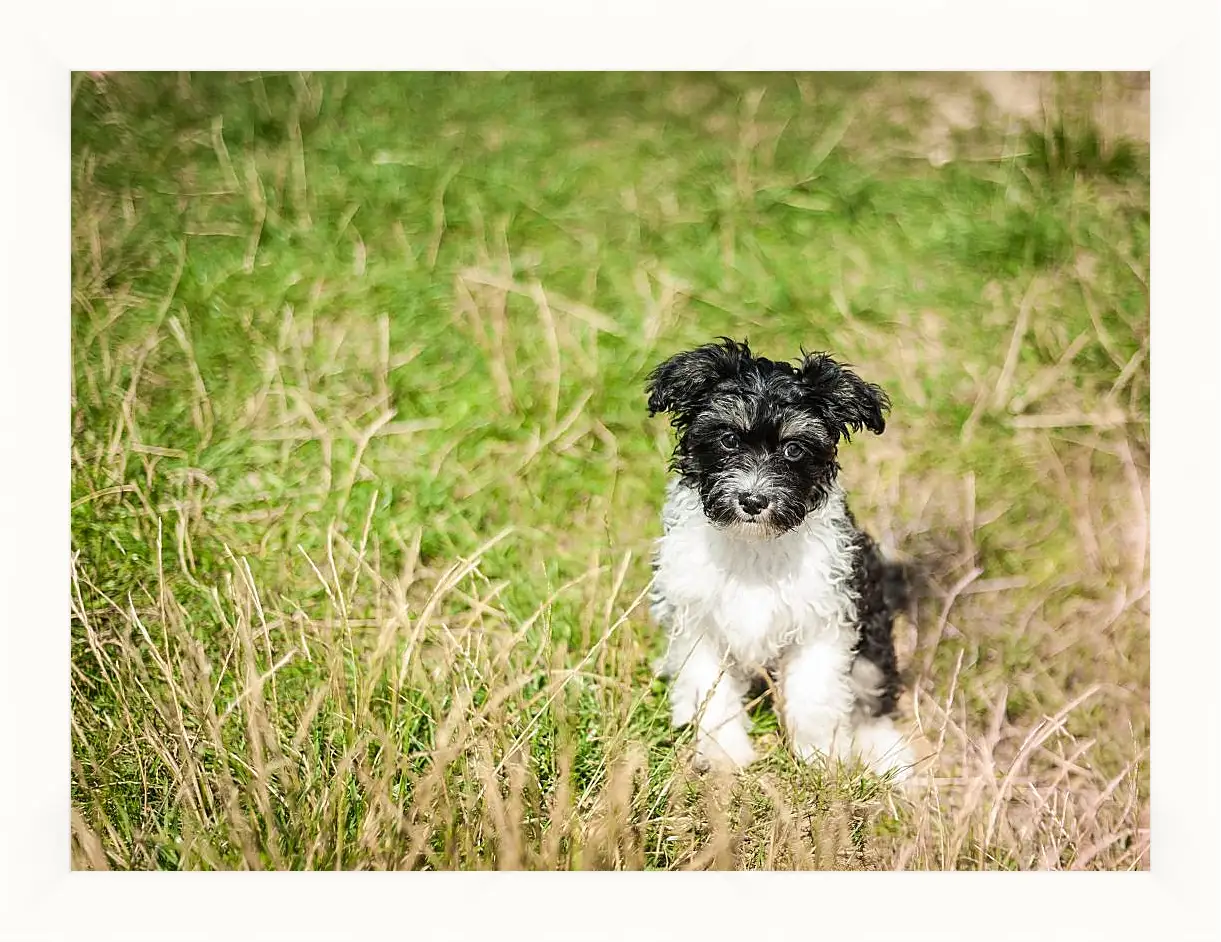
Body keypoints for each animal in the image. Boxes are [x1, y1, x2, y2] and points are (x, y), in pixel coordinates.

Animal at [644, 339, 913, 781]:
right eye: (729, 440)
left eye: (793, 449)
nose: (753, 500)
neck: (754, 544)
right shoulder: (698, 623)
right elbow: (712, 694)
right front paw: (725, 755)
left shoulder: (823, 620)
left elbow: (815, 697)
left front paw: (822, 759)